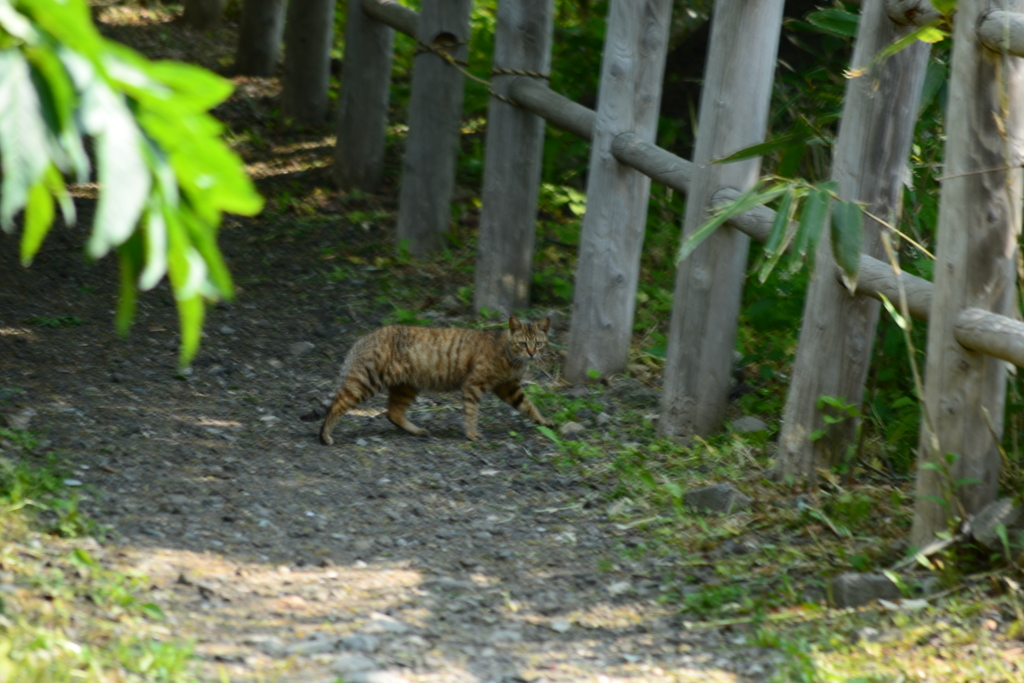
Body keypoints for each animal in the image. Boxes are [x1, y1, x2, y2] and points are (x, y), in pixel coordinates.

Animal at [323, 315, 557, 444]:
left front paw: (543, 421)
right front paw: (472, 434)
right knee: (337, 404)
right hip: (367, 381)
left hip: (406, 386)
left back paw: (416, 430)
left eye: (538, 343)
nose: (532, 354)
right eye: (522, 343)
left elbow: (529, 405)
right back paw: (325, 435)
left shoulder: (508, 387)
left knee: (393, 412)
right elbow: (471, 413)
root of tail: (365, 337)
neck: (510, 356)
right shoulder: (473, 384)